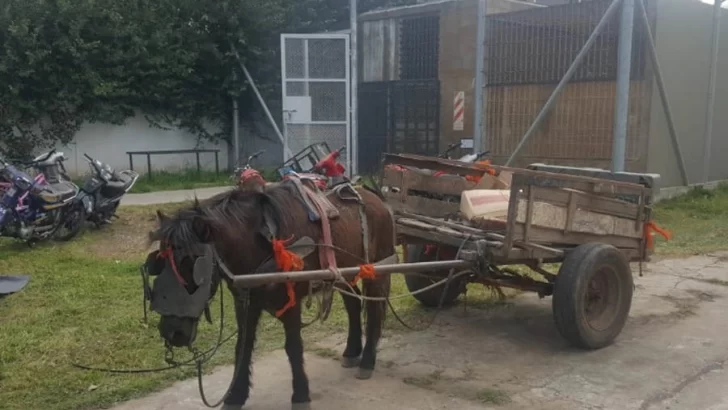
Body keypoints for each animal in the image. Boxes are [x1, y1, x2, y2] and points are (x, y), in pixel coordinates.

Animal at [142, 183, 392, 410]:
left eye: (193, 264)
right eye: (158, 263)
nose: (172, 332)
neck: (264, 242)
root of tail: (376, 197)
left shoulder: (291, 303)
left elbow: (293, 347)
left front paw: (300, 395)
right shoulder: (245, 303)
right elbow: (243, 346)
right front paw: (236, 395)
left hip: (376, 270)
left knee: (374, 312)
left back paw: (367, 360)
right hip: (343, 272)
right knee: (354, 303)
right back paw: (352, 351)